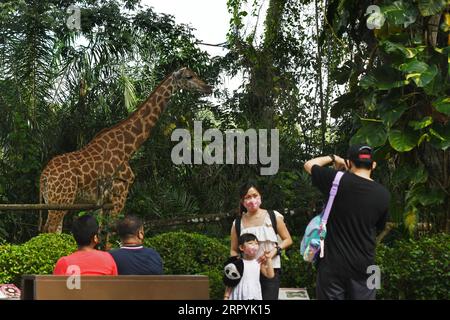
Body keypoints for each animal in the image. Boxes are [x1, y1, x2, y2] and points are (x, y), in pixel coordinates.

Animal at [39, 67, 212, 232]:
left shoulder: (101, 202)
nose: (208, 88)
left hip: (55, 200)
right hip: (61, 200)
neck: (128, 147)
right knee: (49, 229)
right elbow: (111, 230)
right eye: (189, 76)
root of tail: (44, 178)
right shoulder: (120, 193)